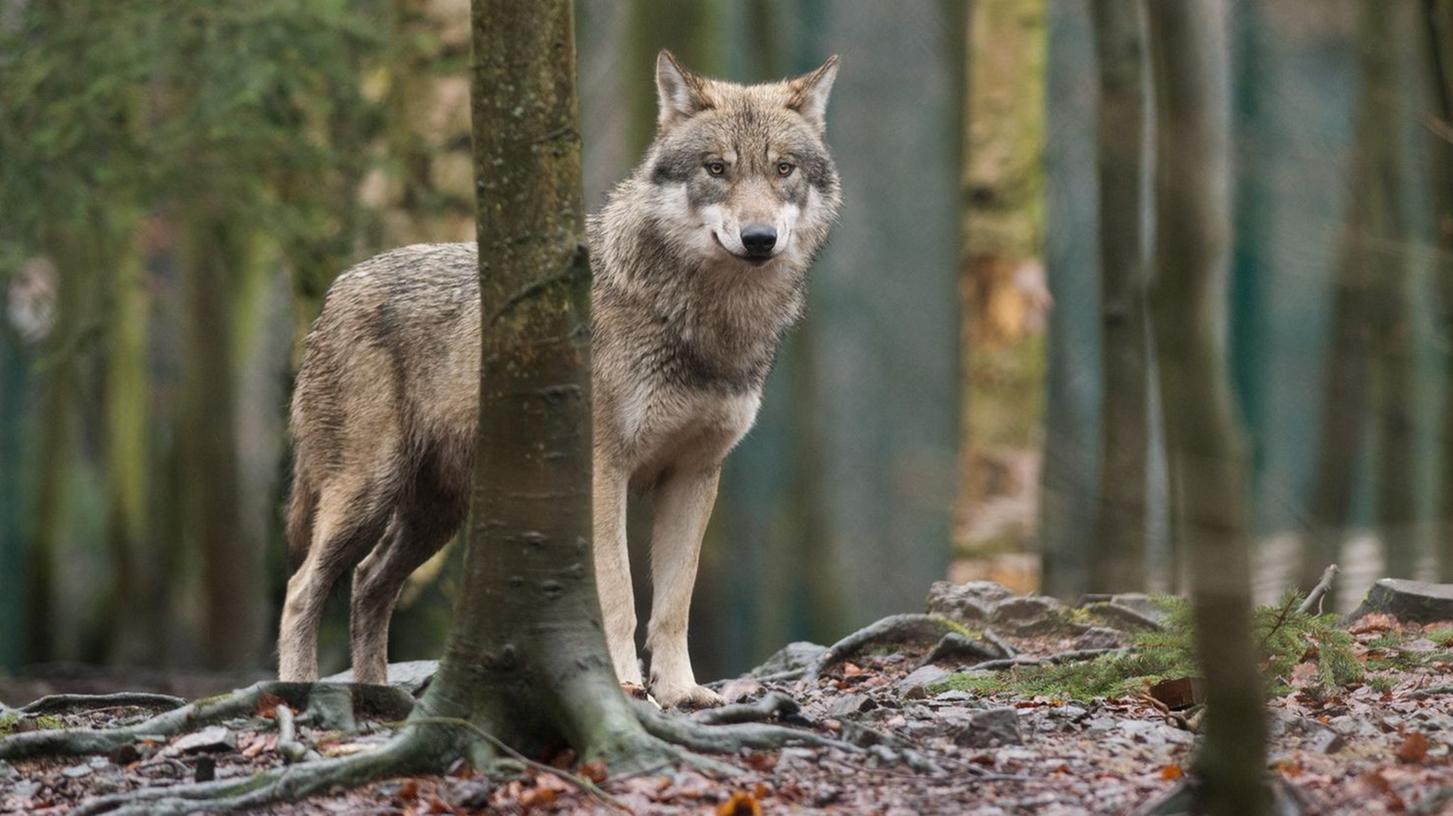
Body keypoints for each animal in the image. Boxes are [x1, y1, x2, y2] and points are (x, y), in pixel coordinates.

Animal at [277, 51, 841, 708]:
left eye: (783, 169)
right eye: (716, 168)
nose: (759, 239)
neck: (705, 322)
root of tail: (336, 290)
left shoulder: (695, 474)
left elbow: (674, 603)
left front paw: (682, 692)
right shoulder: (603, 471)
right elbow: (619, 596)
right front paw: (624, 685)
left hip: (436, 515)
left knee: (369, 582)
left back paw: (378, 696)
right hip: (368, 493)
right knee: (301, 588)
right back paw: (297, 692)